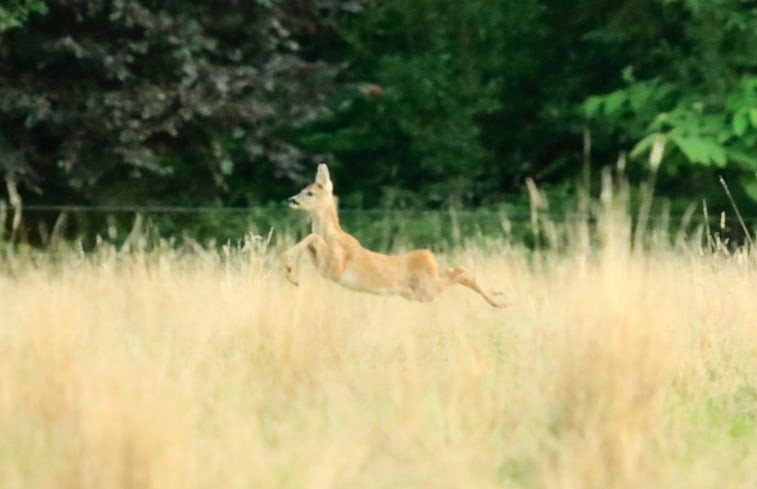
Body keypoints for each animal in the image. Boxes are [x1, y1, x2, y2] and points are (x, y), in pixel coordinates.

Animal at [280, 166, 504, 306]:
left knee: (460, 272)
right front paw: (291, 275)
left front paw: (290, 269)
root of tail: (429, 258)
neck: (332, 234)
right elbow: (310, 240)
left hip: (426, 290)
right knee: (456, 270)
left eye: (309, 193)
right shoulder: (325, 269)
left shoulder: (336, 266)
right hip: (422, 290)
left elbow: (313, 238)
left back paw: (499, 302)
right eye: (301, 189)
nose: (291, 199)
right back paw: (497, 293)